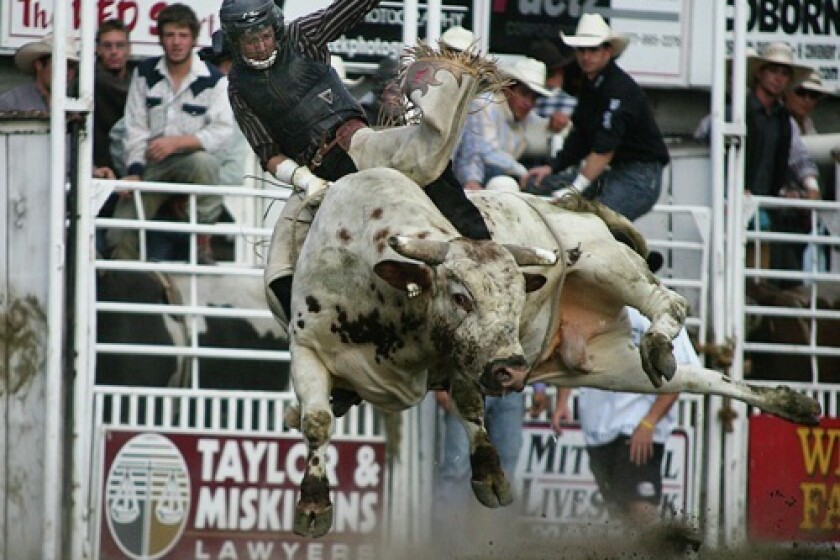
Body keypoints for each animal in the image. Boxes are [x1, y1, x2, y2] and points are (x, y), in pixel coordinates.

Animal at [285, 168, 558, 536]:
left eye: (519, 301)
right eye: (461, 297)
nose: (512, 370)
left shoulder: (460, 354)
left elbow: (470, 405)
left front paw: (491, 475)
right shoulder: (306, 348)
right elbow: (317, 422)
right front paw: (313, 503)